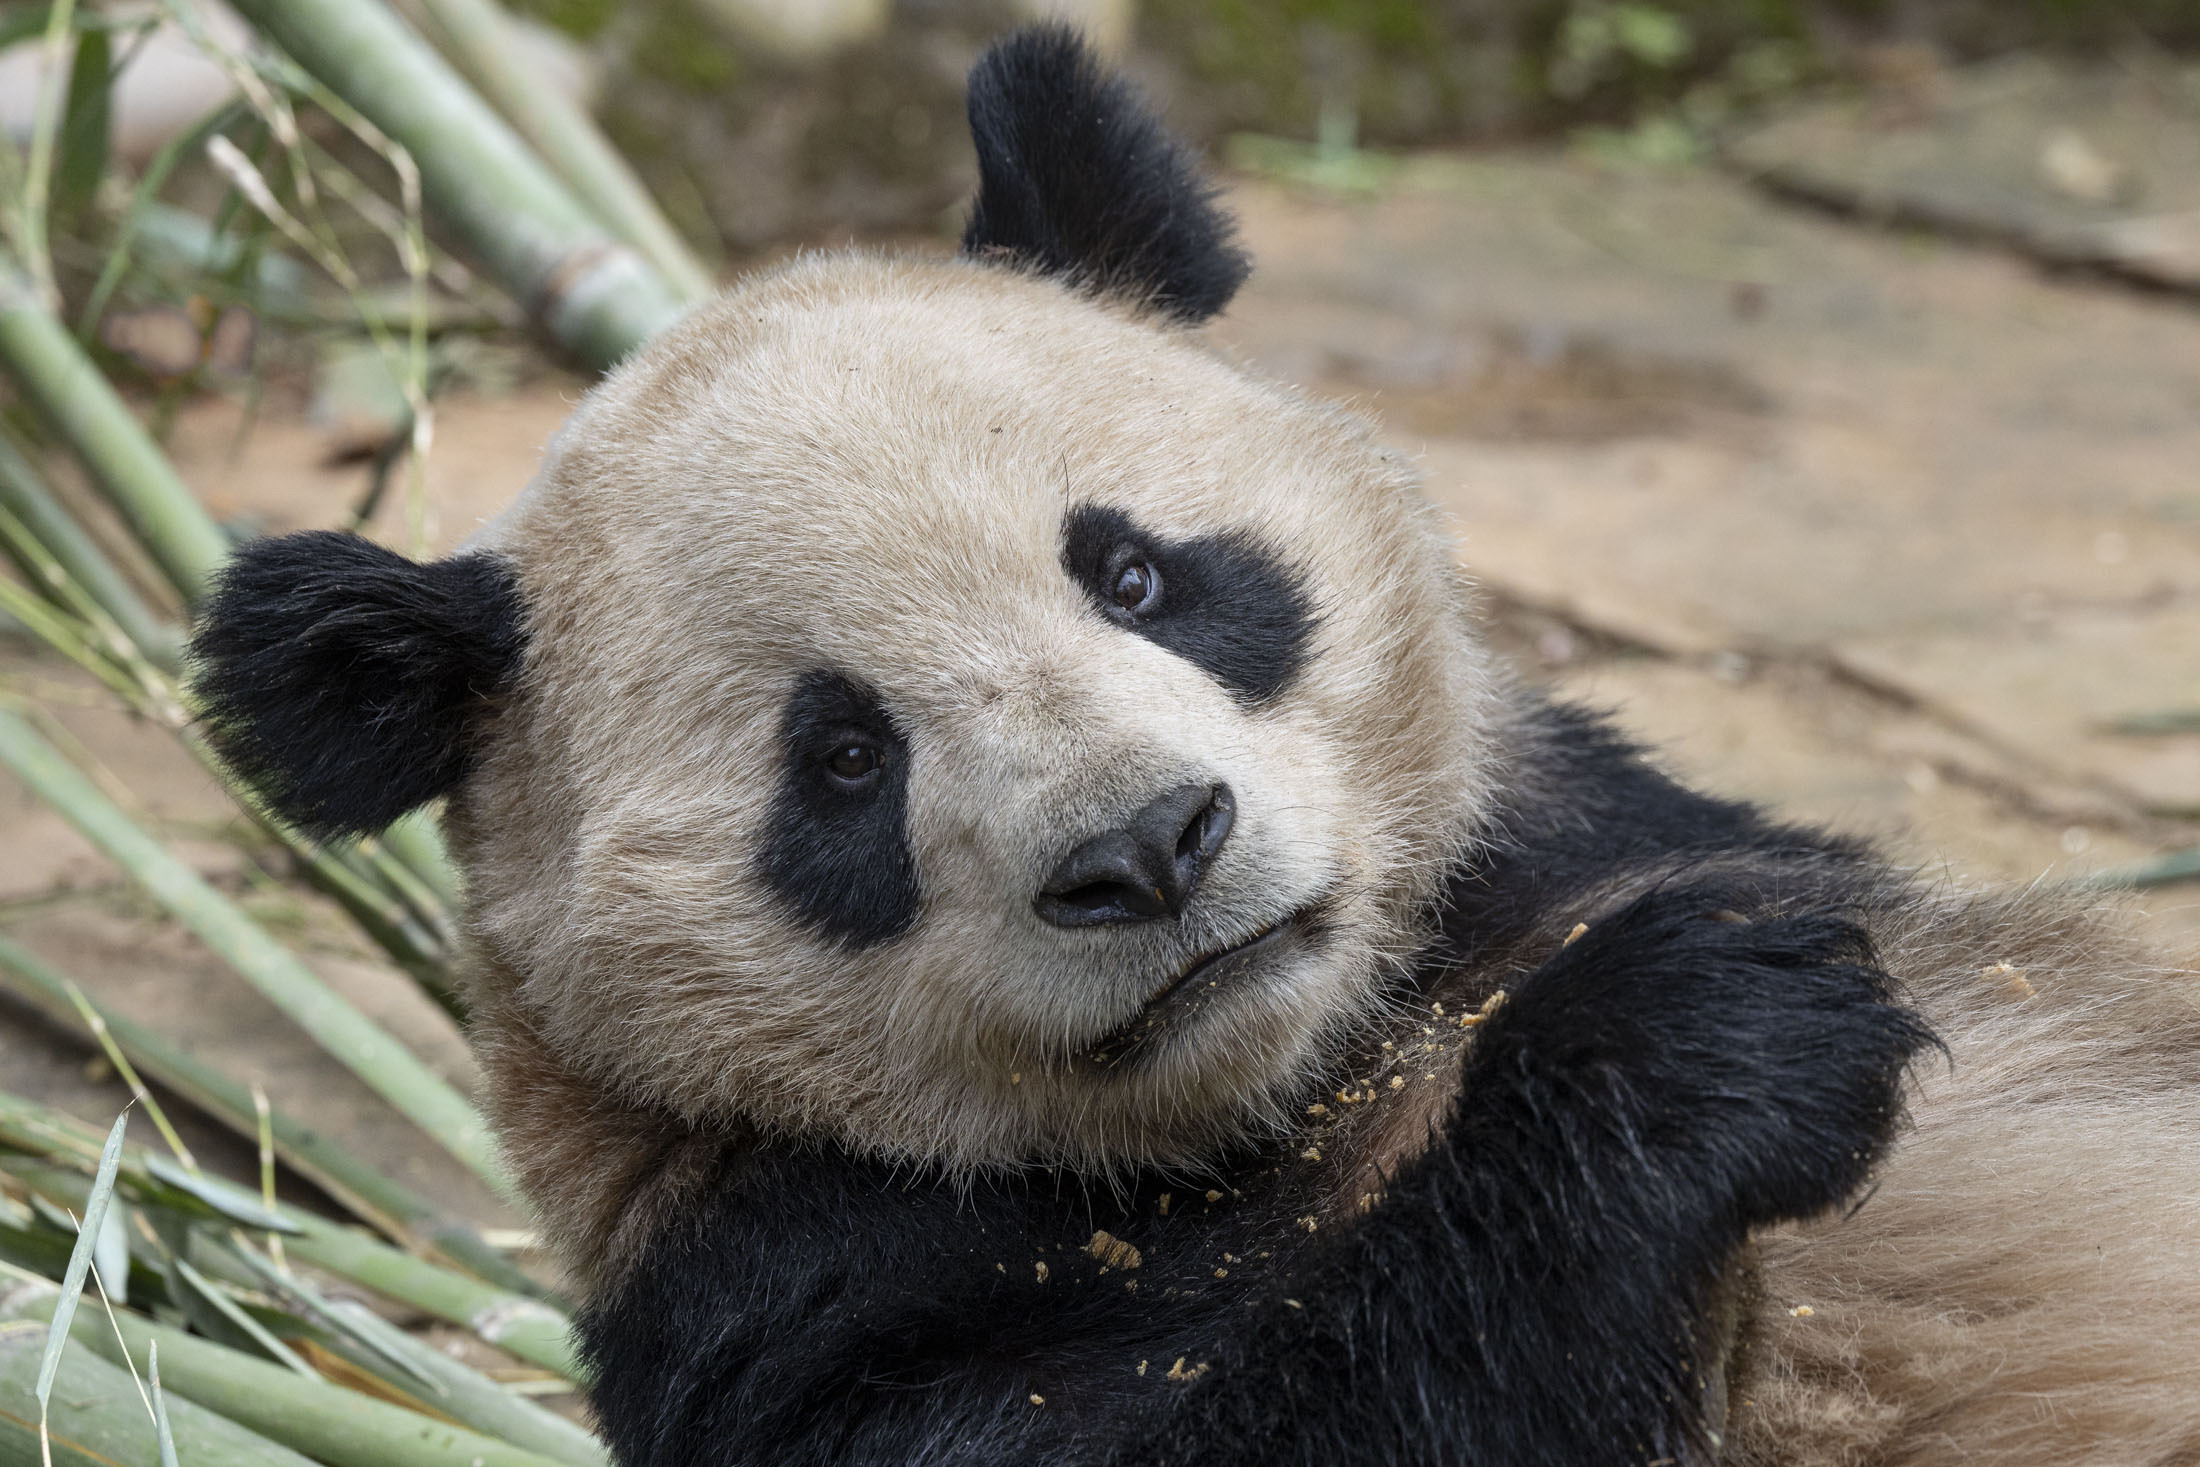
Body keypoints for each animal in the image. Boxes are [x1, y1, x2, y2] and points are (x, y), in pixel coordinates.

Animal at [188, 26, 2200, 1467]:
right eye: (841, 761)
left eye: (1137, 571)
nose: (1150, 847)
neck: (1291, 1086)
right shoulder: (788, 1291)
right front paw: (1692, 1037)